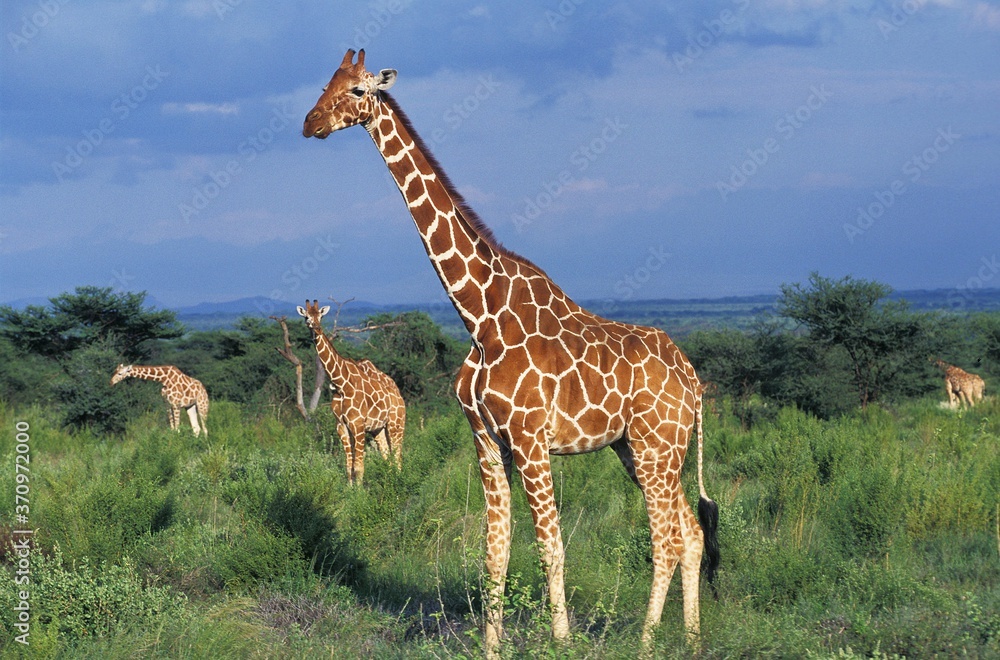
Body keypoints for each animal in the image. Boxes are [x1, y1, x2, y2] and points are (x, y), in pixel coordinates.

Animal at [297, 300, 405, 485]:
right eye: (306, 317)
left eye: (320, 316)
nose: (316, 328)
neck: (341, 384)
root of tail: (400, 397)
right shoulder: (341, 426)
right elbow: (349, 467)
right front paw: (349, 489)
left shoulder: (358, 425)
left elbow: (359, 467)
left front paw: (359, 492)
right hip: (378, 429)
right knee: (387, 456)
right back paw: (389, 482)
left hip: (396, 424)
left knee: (397, 456)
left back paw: (399, 482)